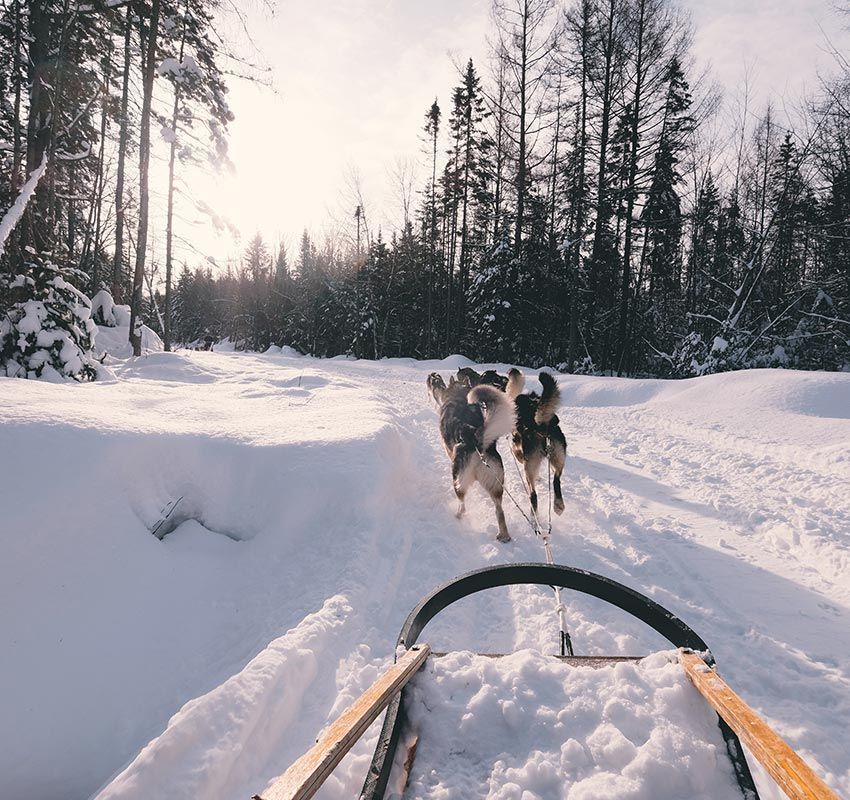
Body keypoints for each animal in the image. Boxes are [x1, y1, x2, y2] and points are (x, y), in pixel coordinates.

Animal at [428, 372, 512, 540]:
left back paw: (457, 516)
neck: (459, 396)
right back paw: (504, 535)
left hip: (458, 479)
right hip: (496, 485)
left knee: (462, 503)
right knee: (499, 510)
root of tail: (475, 438)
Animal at [504, 372, 564, 516]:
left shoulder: (516, 446)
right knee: (556, 479)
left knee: (533, 494)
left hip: (529, 467)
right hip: (558, 456)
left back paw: (533, 514)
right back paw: (558, 505)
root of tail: (542, 425)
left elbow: (517, 455)